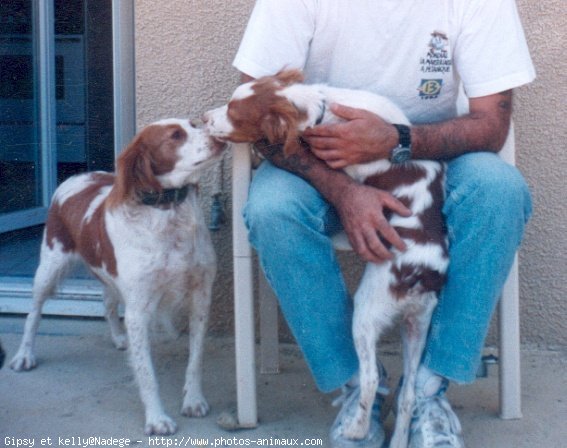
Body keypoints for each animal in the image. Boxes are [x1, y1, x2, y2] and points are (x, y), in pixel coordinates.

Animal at [11, 118, 224, 434]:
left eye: (194, 124)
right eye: (175, 135)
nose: (220, 135)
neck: (167, 211)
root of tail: (78, 177)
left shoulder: (200, 297)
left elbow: (195, 359)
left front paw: (194, 400)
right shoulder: (139, 309)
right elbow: (146, 373)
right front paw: (157, 418)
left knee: (108, 303)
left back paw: (118, 337)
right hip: (49, 267)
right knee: (33, 313)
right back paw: (24, 355)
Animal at [204, 71, 448, 448]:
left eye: (233, 113)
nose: (203, 118)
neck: (319, 107)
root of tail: (424, 272)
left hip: (367, 312)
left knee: (370, 378)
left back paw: (357, 429)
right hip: (418, 325)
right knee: (408, 394)